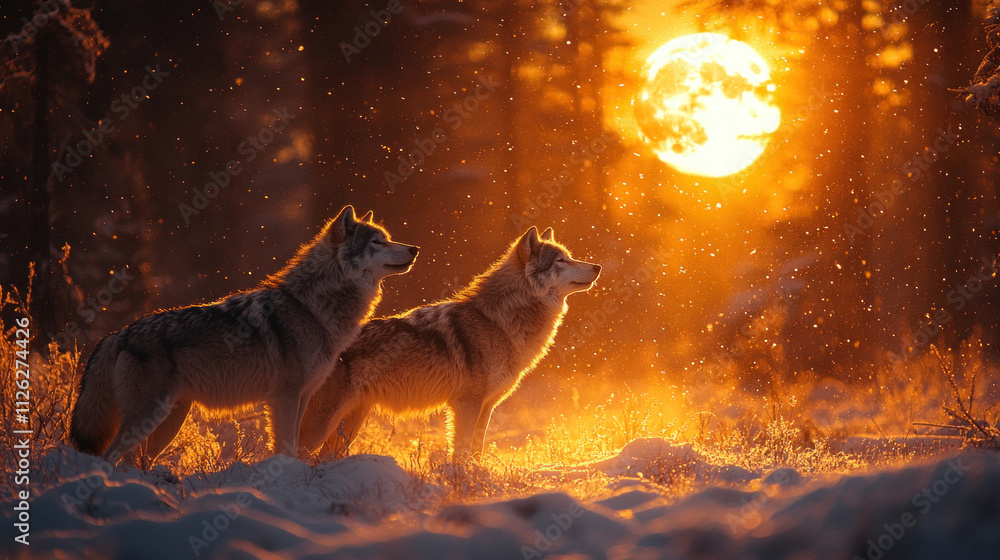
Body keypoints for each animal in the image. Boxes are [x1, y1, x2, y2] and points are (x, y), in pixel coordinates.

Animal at [69, 206, 418, 466]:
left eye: (388, 239)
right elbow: (287, 445)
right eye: (376, 242)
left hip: (168, 420)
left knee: (136, 460)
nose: (415, 248)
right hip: (149, 415)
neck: (310, 305)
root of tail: (120, 332)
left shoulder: (304, 395)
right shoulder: (285, 396)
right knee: (110, 455)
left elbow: (297, 446)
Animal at [298, 226, 600, 459]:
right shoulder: (466, 404)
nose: (597, 266)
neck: (497, 320)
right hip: (321, 425)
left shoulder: (486, 407)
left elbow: (477, 451)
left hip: (349, 425)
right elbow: (462, 451)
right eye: (560, 260)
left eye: (569, 257)